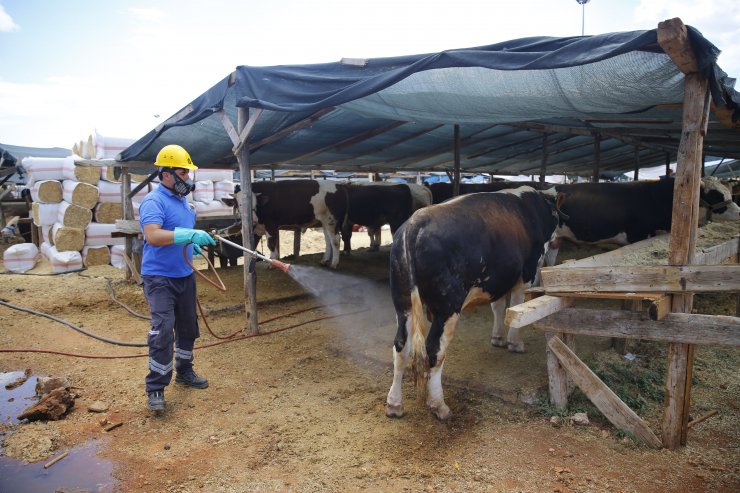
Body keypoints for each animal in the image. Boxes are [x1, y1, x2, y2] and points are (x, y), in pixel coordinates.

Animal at [388, 185, 560, 418]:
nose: (558, 240)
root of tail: (415, 223)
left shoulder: (496, 280)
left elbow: (498, 307)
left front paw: (498, 338)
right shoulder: (525, 273)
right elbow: (516, 305)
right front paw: (515, 343)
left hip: (403, 302)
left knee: (401, 346)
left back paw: (394, 404)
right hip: (447, 307)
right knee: (434, 350)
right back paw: (439, 405)